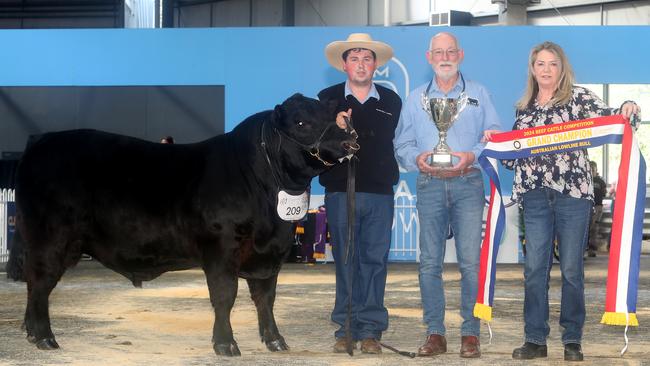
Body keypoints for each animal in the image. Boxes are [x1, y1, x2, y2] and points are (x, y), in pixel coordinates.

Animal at [5, 93, 356, 358]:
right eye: (300, 122)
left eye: (333, 114)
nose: (350, 138)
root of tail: (42, 141)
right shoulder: (222, 249)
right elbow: (225, 296)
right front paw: (225, 344)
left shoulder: (271, 254)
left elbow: (265, 298)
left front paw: (275, 341)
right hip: (50, 239)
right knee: (40, 283)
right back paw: (45, 337)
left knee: (37, 285)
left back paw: (33, 333)